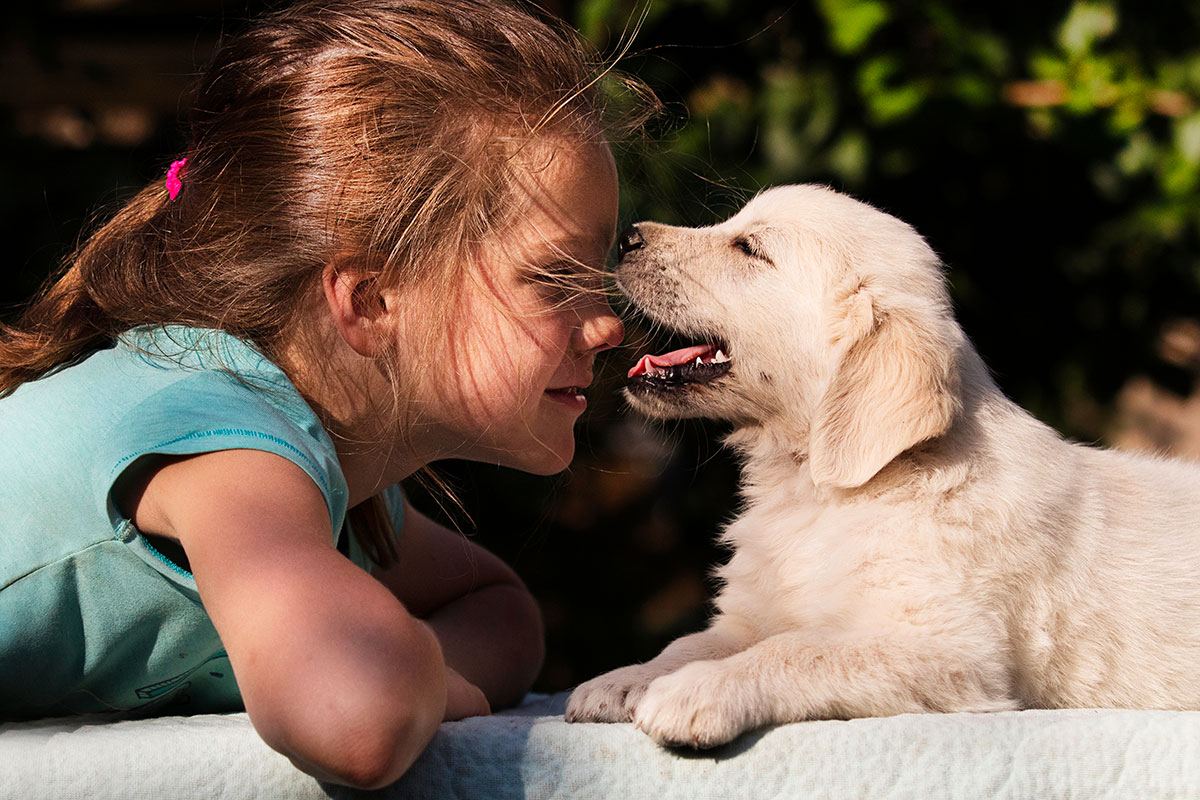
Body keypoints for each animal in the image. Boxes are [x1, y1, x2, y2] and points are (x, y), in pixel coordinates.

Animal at [566, 184, 1200, 748]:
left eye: (750, 248)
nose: (626, 236)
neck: (819, 490)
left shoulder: (949, 649)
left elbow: (797, 650)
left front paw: (694, 692)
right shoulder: (755, 612)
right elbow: (694, 642)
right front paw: (622, 680)